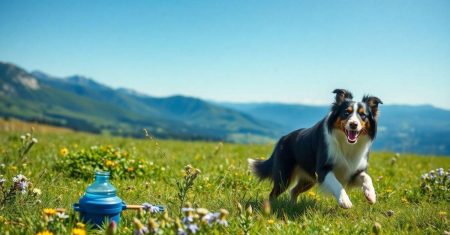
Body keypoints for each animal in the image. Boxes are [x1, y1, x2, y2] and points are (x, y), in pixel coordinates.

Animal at [248, 89, 382, 208]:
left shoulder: (354, 171)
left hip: (308, 179)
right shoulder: (323, 169)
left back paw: (292, 206)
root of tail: (282, 139)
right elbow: (337, 184)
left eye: (363, 115)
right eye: (346, 113)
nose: (353, 124)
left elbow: (367, 178)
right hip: (284, 176)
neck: (346, 144)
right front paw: (345, 201)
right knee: (273, 194)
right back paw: (270, 208)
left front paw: (371, 195)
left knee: (294, 190)